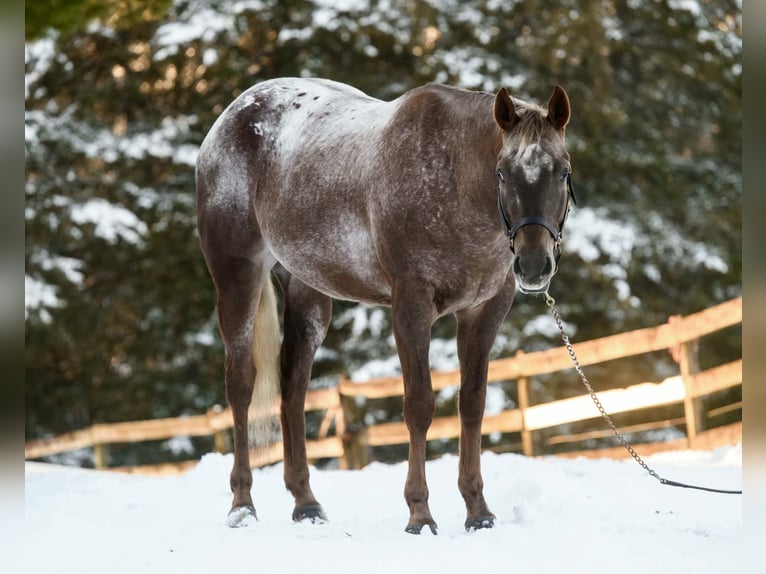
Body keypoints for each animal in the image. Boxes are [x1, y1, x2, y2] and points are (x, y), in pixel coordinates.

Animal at [195, 77, 575, 534]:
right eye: (501, 173)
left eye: (564, 170)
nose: (534, 265)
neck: (452, 178)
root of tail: (232, 115)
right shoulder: (410, 306)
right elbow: (419, 406)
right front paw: (420, 514)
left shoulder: (484, 311)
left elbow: (472, 404)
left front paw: (478, 511)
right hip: (238, 278)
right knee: (241, 385)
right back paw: (242, 505)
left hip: (308, 293)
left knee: (293, 389)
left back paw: (306, 504)